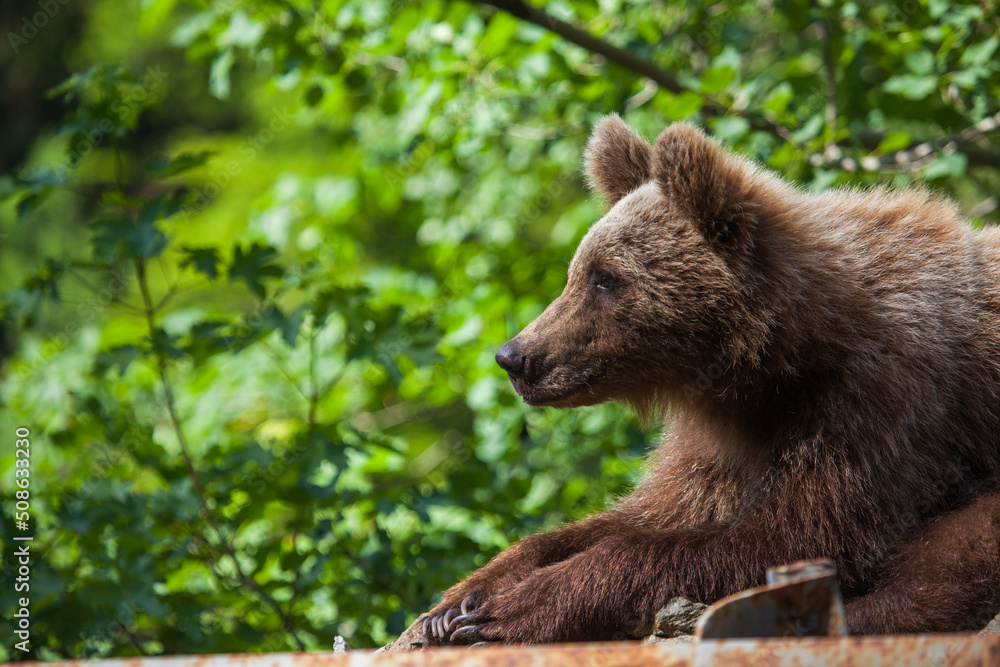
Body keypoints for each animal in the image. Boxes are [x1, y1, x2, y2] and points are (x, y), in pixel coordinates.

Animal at [402, 115, 1000, 647]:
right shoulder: (720, 440)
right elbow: (643, 514)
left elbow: (803, 534)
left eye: (605, 278)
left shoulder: (883, 400)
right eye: (577, 271)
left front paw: (509, 612)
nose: (515, 357)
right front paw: (453, 606)